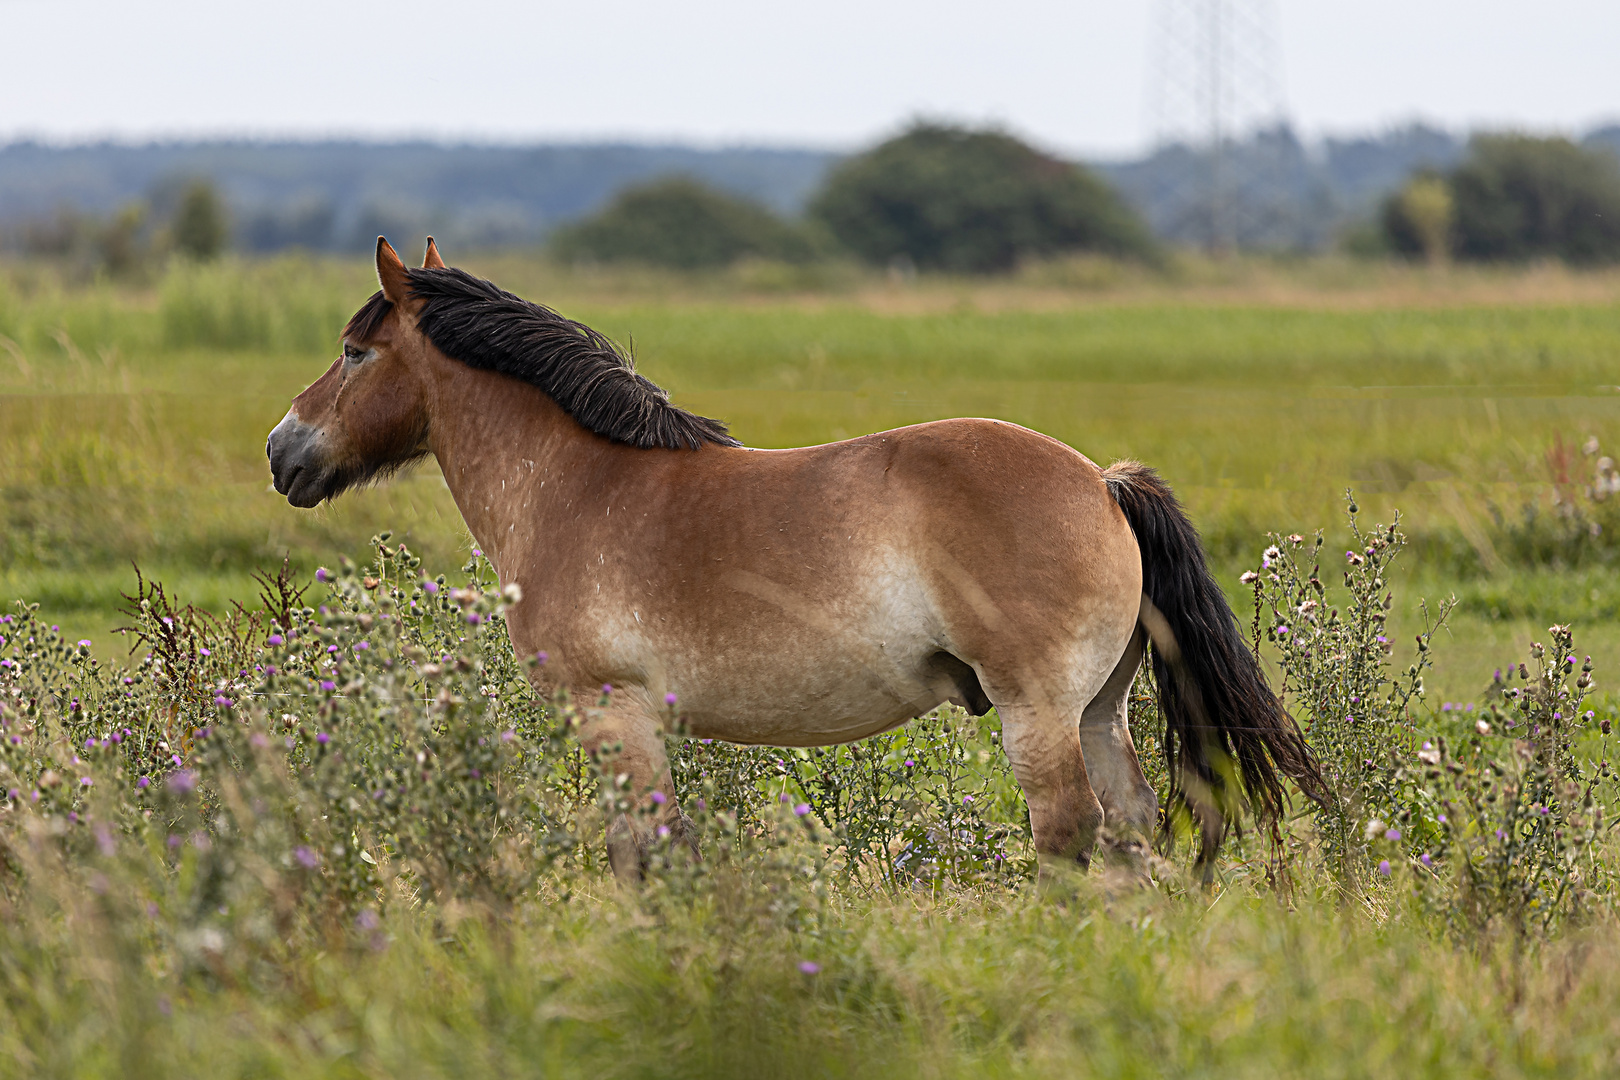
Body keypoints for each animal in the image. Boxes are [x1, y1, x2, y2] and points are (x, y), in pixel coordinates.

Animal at [265, 236, 1321, 880]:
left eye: (355, 353)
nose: (284, 451)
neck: (576, 486)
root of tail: (1102, 482)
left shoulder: (614, 713)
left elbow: (642, 852)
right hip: (1102, 710)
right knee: (1134, 829)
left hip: (1039, 711)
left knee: (1069, 833)